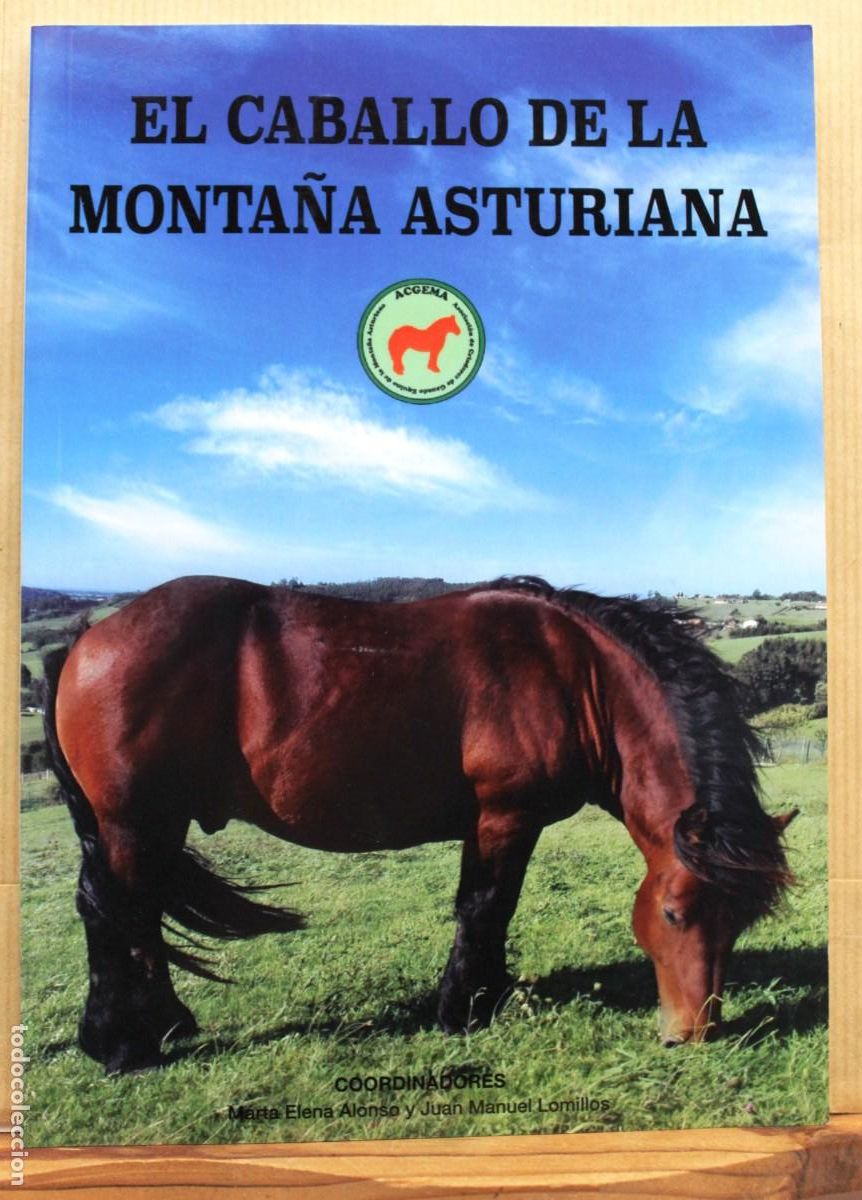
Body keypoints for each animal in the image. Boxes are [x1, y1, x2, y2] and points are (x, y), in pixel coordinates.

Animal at [43, 575, 796, 1075]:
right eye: (674, 914)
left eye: (740, 923)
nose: (695, 1032)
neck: (573, 674)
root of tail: (89, 639)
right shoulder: (504, 816)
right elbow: (486, 906)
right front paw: (464, 1007)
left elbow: (487, 909)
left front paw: (484, 995)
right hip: (132, 824)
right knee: (115, 915)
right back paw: (122, 1044)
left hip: (155, 826)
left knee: (136, 916)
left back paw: (162, 1025)